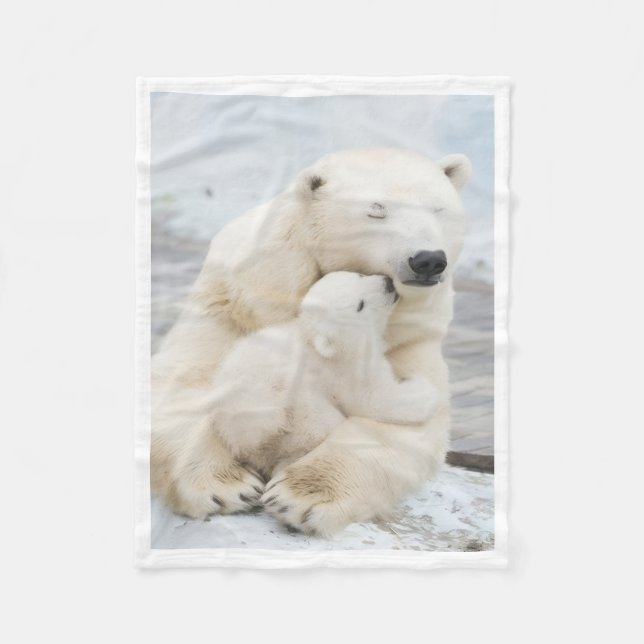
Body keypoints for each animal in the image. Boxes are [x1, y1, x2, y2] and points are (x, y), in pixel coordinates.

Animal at [151, 147, 471, 535]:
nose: (428, 260)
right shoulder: (233, 303)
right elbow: (183, 385)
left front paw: (300, 496)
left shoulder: (410, 334)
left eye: (438, 209)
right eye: (376, 210)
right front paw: (227, 485)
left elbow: (399, 419)